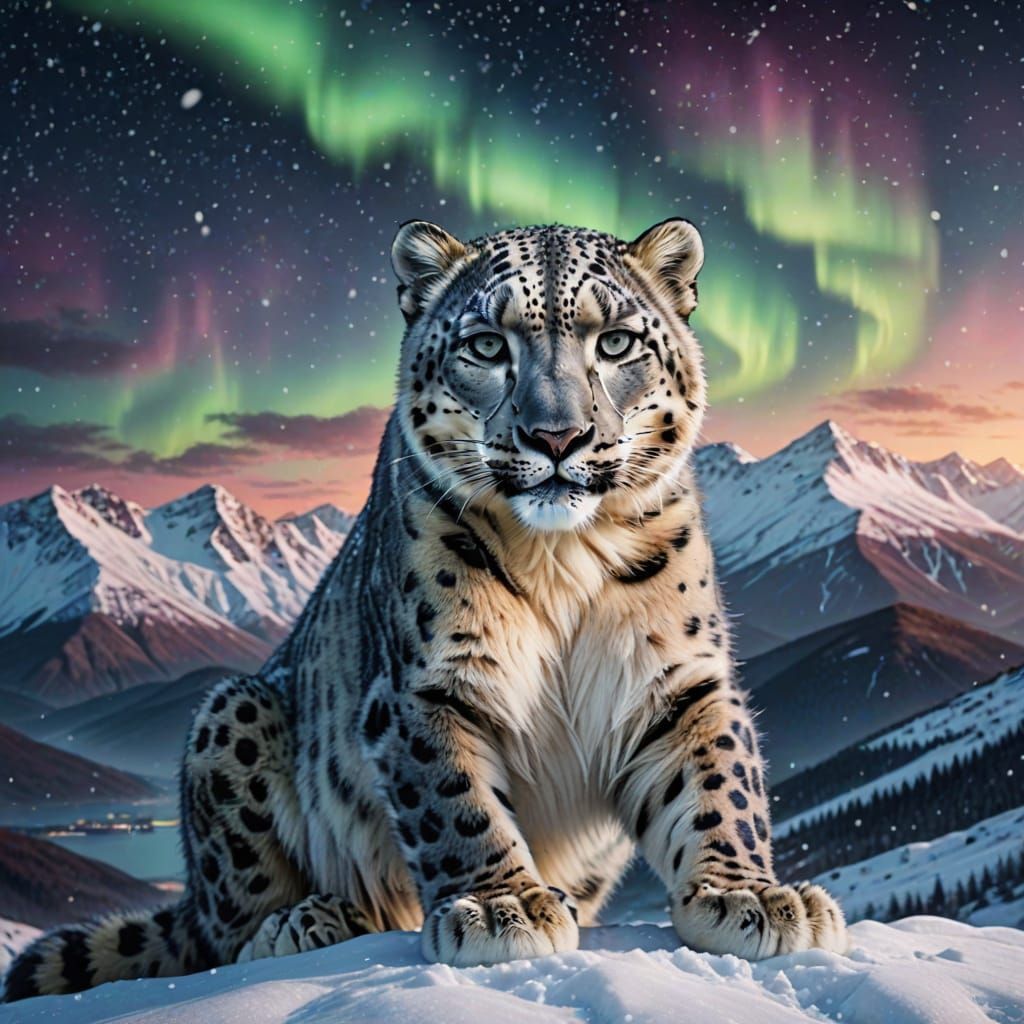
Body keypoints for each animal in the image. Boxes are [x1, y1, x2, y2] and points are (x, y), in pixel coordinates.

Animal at [3, 217, 847, 1002]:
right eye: (486, 345)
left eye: (615, 342)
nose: (557, 436)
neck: (564, 558)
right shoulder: (429, 684)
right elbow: (455, 801)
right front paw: (505, 908)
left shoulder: (677, 677)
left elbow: (719, 784)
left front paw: (751, 897)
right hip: (233, 715)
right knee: (225, 931)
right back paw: (310, 919)